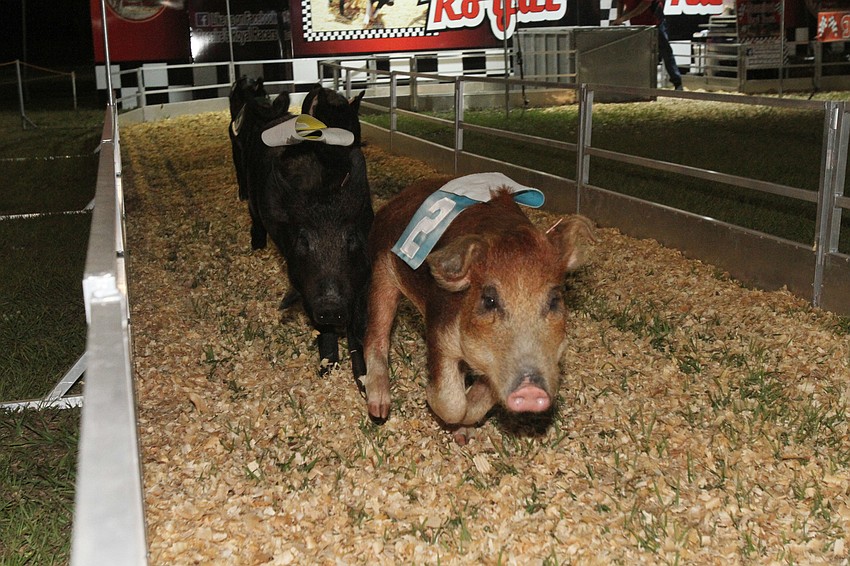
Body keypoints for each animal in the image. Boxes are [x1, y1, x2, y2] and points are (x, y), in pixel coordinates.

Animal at [231, 81, 374, 380]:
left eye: (351, 239)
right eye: (303, 241)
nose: (330, 306)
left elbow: (358, 324)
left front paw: (362, 377)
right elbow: (324, 328)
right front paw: (326, 370)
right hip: (250, 190)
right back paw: (256, 246)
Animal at [360, 176, 596, 443]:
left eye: (555, 300)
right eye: (489, 300)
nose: (530, 391)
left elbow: (480, 400)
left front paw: (464, 433)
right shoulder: (440, 330)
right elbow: (450, 400)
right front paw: (431, 399)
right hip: (381, 269)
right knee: (375, 334)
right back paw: (379, 411)